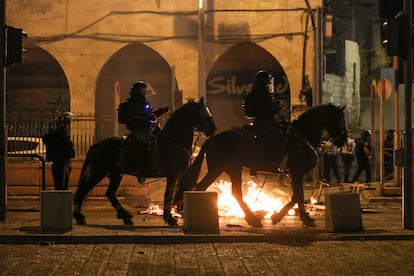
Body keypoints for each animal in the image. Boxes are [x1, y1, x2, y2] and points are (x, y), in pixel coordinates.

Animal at [73, 97, 217, 226]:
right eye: (203, 113)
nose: (213, 130)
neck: (174, 141)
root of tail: (97, 145)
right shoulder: (173, 175)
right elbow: (168, 196)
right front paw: (170, 219)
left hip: (115, 174)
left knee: (110, 193)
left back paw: (125, 217)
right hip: (99, 172)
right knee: (84, 189)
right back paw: (79, 217)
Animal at [174, 104, 346, 227]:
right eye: (339, 119)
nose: (343, 140)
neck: (303, 136)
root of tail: (211, 139)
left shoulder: (295, 173)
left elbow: (298, 196)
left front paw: (300, 217)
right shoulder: (296, 171)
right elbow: (298, 196)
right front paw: (283, 217)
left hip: (221, 169)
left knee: (202, 187)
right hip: (230, 169)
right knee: (234, 192)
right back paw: (252, 219)